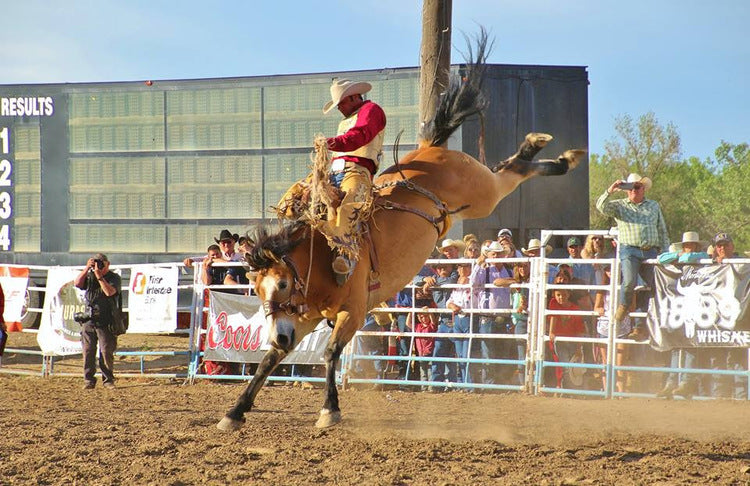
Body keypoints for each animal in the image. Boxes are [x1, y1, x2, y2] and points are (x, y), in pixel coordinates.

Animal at [217, 33, 585, 430]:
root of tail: (432, 149)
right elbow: (270, 359)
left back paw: (552, 152)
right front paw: (235, 411)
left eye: (283, 283)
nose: (281, 333)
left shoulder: (353, 311)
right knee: (507, 167)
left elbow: (330, 352)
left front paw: (330, 410)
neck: (321, 257)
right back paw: (552, 151)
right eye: (256, 289)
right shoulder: (303, 317)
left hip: (482, 193)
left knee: (508, 173)